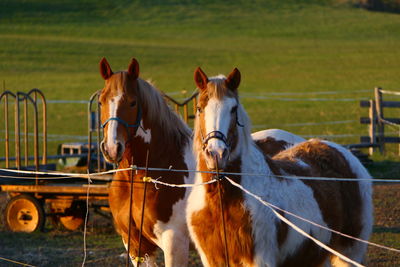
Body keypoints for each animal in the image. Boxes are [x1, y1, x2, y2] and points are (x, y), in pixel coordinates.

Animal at [187, 67, 372, 267]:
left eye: (233, 109)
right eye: (199, 108)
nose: (216, 154)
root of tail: (341, 151)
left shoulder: (260, 260)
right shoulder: (212, 259)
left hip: (348, 252)